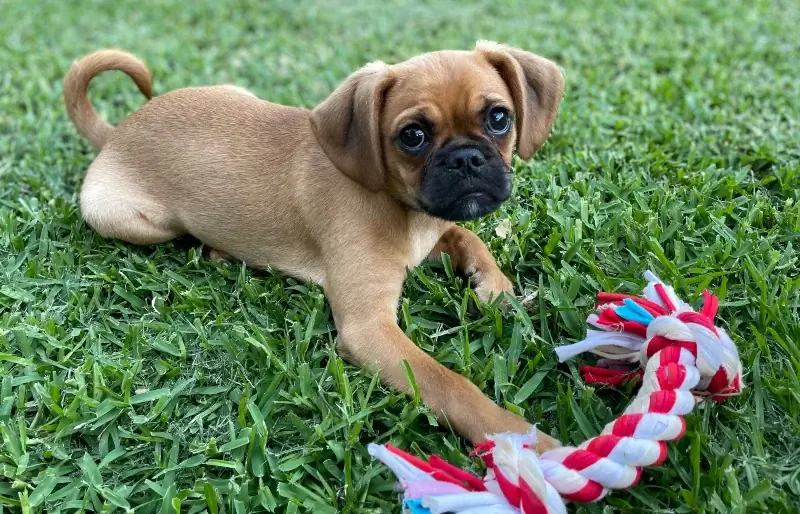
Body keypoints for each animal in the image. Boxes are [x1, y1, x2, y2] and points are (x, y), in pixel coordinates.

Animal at [64, 42, 564, 450]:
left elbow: (466, 234)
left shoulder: (430, 236)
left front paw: (494, 285)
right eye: (413, 136)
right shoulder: (369, 329)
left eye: (499, 118)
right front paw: (524, 441)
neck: (400, 206)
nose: (466, 159)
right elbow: (450, 385)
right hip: (131, 219)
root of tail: (116, 132)